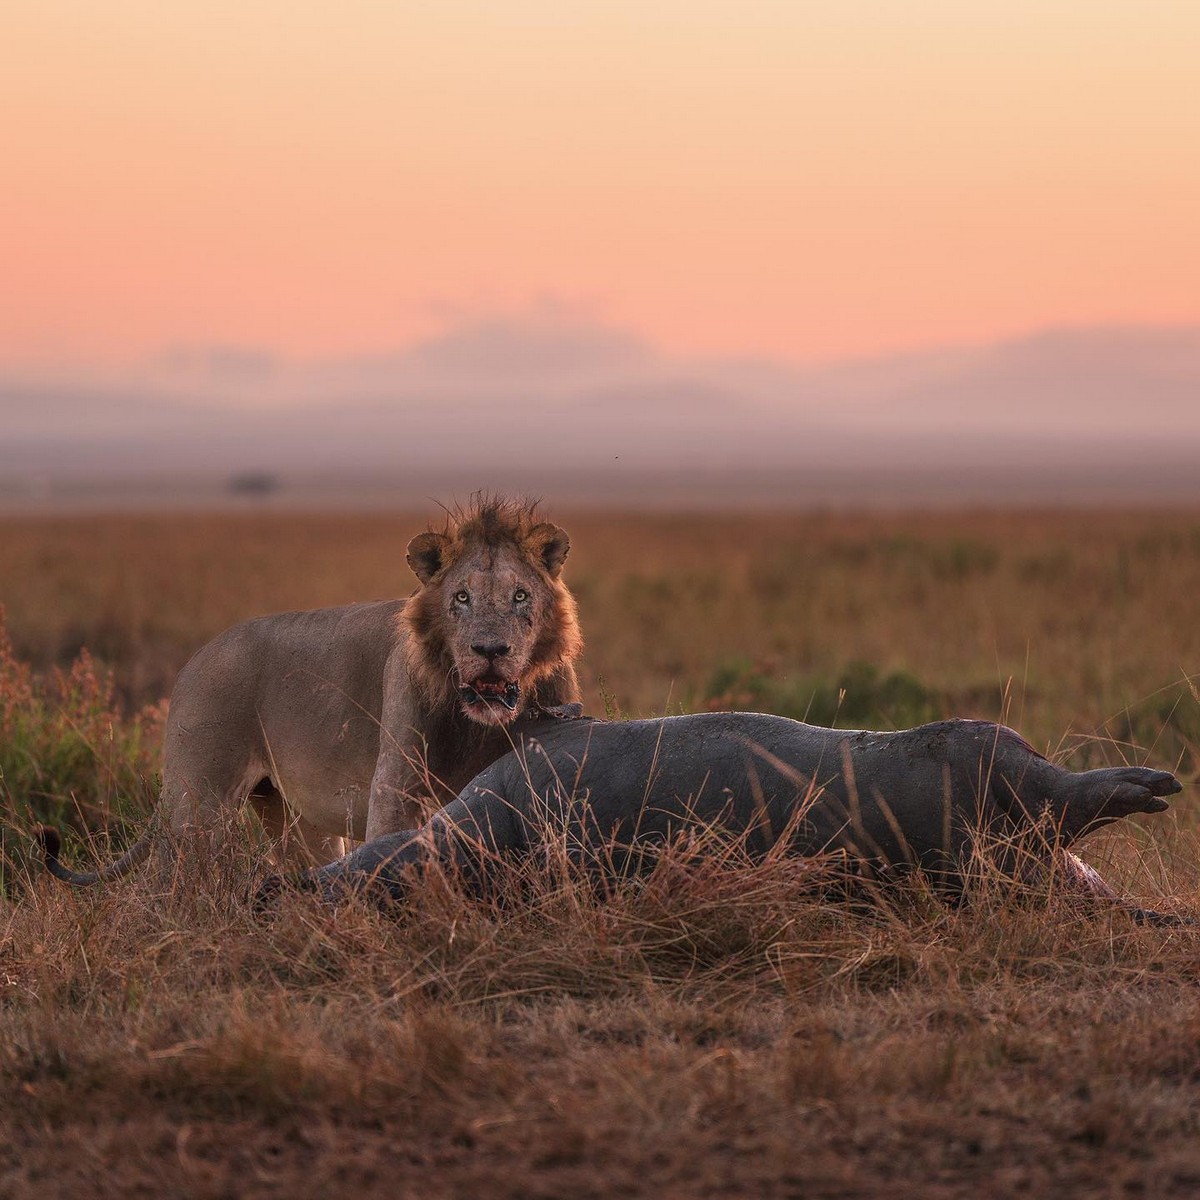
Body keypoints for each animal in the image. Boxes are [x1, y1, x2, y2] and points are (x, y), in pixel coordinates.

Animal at [38, 492, 580, 888]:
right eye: (461, 598)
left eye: (520, 596)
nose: (490, 649)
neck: (478, 723)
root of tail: (197, 657)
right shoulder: (395, 787)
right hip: (198, 803)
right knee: (165, 883)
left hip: (295, 821)